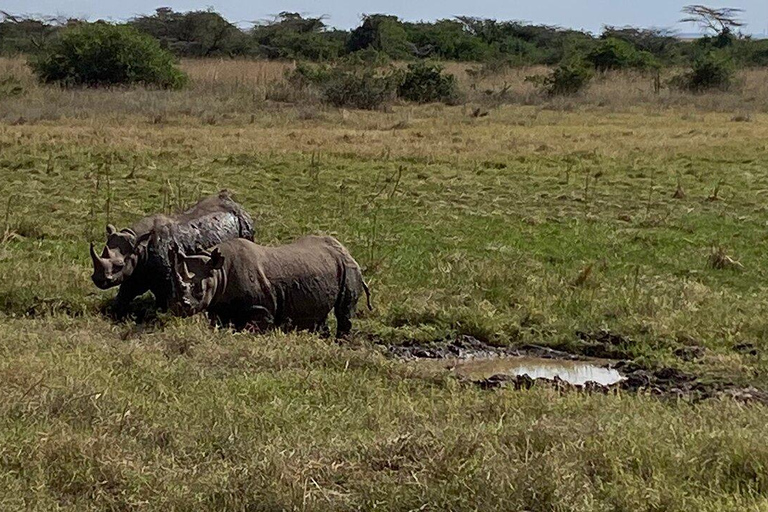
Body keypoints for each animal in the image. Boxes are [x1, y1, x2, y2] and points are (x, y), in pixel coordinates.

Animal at [89, 191, 252, 314]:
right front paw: (112, 311)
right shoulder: (136, 268)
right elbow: (126, 291)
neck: (139, 244)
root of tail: (239, 206)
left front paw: (162, 314)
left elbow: (165, 296)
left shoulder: (166, 274)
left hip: (246, 225)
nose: (98, 279)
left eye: (119, 265)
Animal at [168, 235, 372, 338]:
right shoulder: (218, 306)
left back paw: (341, 342)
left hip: (350, 268)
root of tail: (346, 250)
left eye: (199, 290)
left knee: (343, 311)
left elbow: (257, 327)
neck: (219, 272)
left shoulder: (262, 308)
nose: (180, 307)